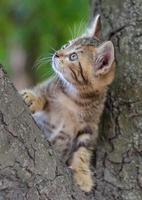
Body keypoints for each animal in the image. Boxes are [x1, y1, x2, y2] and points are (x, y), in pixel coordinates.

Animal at [20, 14, 115, 191]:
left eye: (73, 56)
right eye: (66, 44)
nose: (56, 54)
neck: (75, 97)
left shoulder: (90, 126)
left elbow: (83, 151)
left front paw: (83, 175)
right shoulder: (50, 87)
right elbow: (41, 93)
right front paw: (31, 97)